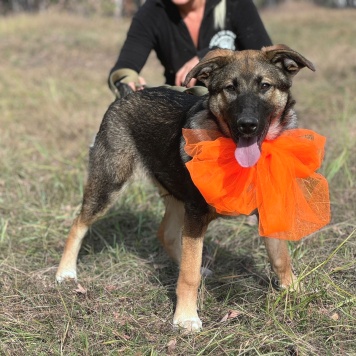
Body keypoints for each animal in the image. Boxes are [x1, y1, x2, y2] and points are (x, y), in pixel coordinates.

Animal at [57, 43, 316, 330]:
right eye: (230, 88)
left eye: (265, 86)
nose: (247, 125)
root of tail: (126, 93)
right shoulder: (196, 213)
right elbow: (189, 275)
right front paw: (185, 318)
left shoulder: (267, 205)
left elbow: (280, 256)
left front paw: (295, 291)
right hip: (110, 181)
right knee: (79, 223)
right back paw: (65, 272)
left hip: (176, 192)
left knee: (166, 234)